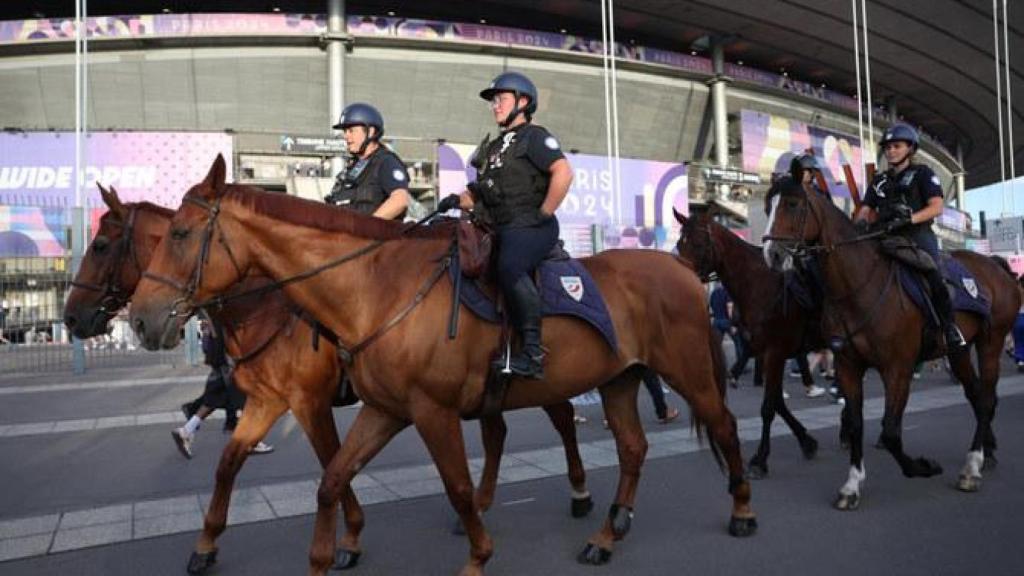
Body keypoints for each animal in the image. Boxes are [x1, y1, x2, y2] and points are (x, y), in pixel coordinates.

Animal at [64, 182, 593, 569]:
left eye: (101, 244)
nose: (72, 319)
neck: (265, 304)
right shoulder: (268, 401)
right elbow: (230, 464)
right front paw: (206, 544)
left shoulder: (309, 402)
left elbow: (330, 461)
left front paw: (352, 534)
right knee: (497, 431)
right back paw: (478, 508)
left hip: (534, 377)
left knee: (563, 419)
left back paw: (580, 494)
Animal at [125, 155, 753, 573]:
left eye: (180, 234)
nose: (140, 320)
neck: (375, 288)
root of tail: (682, 271)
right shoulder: (377, 409)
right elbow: (326, 479)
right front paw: (327, 552)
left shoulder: (423, 411)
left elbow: (454, 483)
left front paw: (477, 554)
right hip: (618, 378)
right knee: (631, 448)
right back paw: (607, 532)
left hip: (687, 372)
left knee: (722, 426)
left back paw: (741, 510)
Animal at [675, 206, 819, 475]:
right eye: (680, 244)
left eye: (699, 244)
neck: (759, 284)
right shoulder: (767, 353)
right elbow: (776, 402)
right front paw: (806, 441)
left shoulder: (775, 351)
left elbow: (768, 407)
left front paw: (760, 458)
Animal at [765, 175, 1019, 506]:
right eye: (767, 206)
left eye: (793, 204)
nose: (772, 254)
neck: (859, 285)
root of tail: (997, 266)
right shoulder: (848, 365)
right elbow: (857, 423)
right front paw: (852, 485)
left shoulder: (897, 368)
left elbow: (890, 432)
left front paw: (923, 467)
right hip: (959, 351)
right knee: (977, 395)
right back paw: (984, 455)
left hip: (992, 340)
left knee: (987, 398)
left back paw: (971, 467)